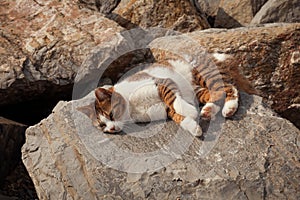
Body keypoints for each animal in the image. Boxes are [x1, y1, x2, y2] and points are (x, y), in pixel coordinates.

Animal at [94, 58, 239, 137]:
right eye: (102, 126)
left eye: (111, 114)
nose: (112, 128)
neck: (133, 108)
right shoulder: (164, 110)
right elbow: (177, 116)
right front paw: (193, 126)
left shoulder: (163, 82)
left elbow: (173, 99)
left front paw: (190, 111)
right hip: (198, 91)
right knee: (214, 94)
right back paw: (209, 110)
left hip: (203, 75)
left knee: (228, 88)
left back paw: (229, 107)